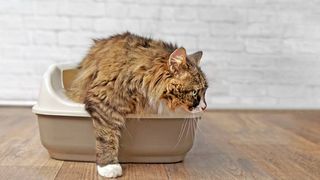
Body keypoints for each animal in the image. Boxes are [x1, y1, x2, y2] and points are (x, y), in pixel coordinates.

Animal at [66, 31, 209, 178]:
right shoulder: (104, 101)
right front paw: (108, 166)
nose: (204, 107)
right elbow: (107, 136)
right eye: (195, 92)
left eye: (205, 91)